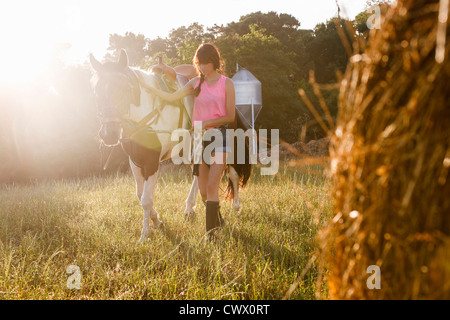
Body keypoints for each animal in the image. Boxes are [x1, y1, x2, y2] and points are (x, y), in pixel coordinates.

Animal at [89, 48, 251, 241]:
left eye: (122, 88)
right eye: (96, 90)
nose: (109, 134)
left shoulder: (152, 162)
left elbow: (146, 199)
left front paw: (145, 234)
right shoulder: (135, 161)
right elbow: (140, 194)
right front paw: (157, 221)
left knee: (232, 174)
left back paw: (235, 207)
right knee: (199, 178)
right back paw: (190, 209)